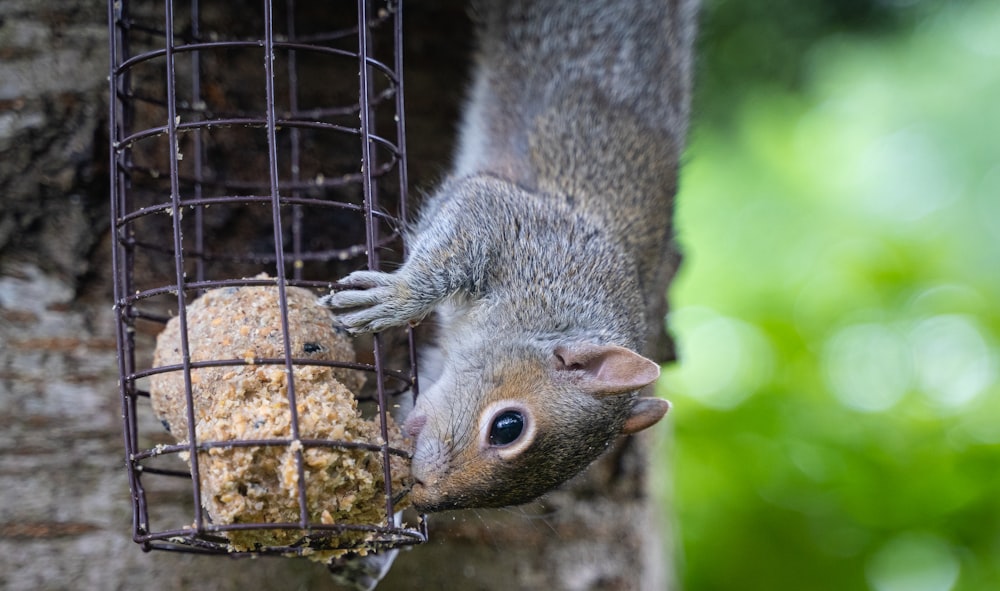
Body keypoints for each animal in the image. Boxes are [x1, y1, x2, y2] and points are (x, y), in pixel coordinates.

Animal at [320, 0, 696, 512]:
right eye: (508, 427)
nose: (424, 498)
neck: (557, 303)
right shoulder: (512, 224)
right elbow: (451, 244)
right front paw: (395, 299)